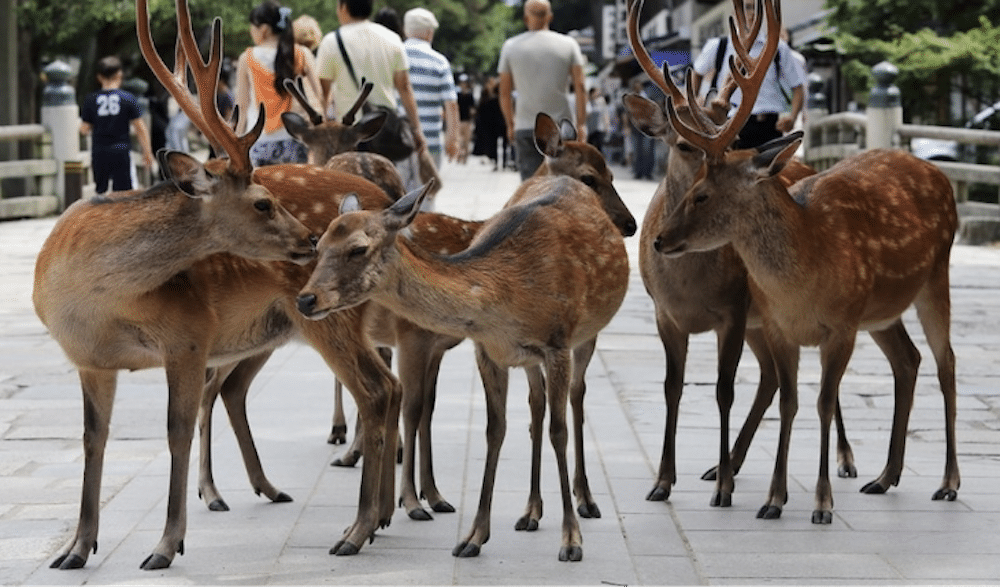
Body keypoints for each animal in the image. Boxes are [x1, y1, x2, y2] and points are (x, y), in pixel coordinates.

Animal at [35, 0, 408, 569]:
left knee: (377, 389)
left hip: (329, 314)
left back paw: (359, 527)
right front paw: (76, 548)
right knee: (383, 385)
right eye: (262, 203)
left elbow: (176, 431)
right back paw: (381, 515)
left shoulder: (189, 334)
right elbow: (92, 440)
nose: (312, 240)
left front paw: (165, 546)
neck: (91, 299)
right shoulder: (90, 359)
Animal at [621, 0, 857, 511]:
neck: (689, 281)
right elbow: (672, 388)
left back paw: (844, 460)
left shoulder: (732, 310)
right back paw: (725, 463)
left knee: (802, 380)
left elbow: (724, 390)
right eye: (682, 141)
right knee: (770, 377)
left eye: (729, 136)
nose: (743, 158)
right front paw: (663, 481)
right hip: (762, 323)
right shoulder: (664, 314)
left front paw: (725, 490)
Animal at [651, 0, 960, 524]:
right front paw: (775, 499)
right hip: (882, 312)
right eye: (689, 189)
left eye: (702, 195)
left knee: (947, 364)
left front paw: (821, 503)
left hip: (934, 279)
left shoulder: (841, 326)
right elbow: (791, 400)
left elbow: (822, 401)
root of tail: (940, 174)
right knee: (908, 360)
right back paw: (885, 476)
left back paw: (948, 483)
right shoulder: (779, 326)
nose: (658, 239)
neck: (805, 270)